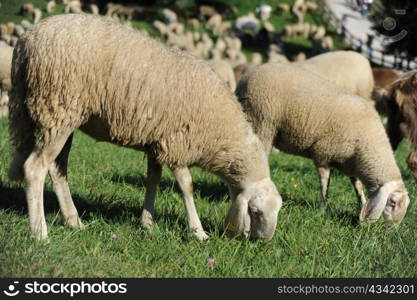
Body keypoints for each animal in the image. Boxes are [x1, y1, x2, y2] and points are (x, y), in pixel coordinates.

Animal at [10, 15, 282, 243]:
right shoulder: (176, 141)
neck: (222, 134)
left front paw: (147, 223)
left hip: (63, 116)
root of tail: (27, 40)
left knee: (57, 169)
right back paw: (40, 233)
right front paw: (198, 232)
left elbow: (154, 180)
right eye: (255, 211)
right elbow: (187, 186)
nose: (263, 242)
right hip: (58, 106)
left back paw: (74, 221)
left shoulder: (157, 142)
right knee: (34, 169)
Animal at [236, 63, 408, 227]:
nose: (392, 228)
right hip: (261, 122)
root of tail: (247, 75)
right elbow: (325, 184)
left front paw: (362, 204)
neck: (367, 145)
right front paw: (324, 208)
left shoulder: (349, 164)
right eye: (392, 202)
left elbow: (358, 187)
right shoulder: (323, 153)